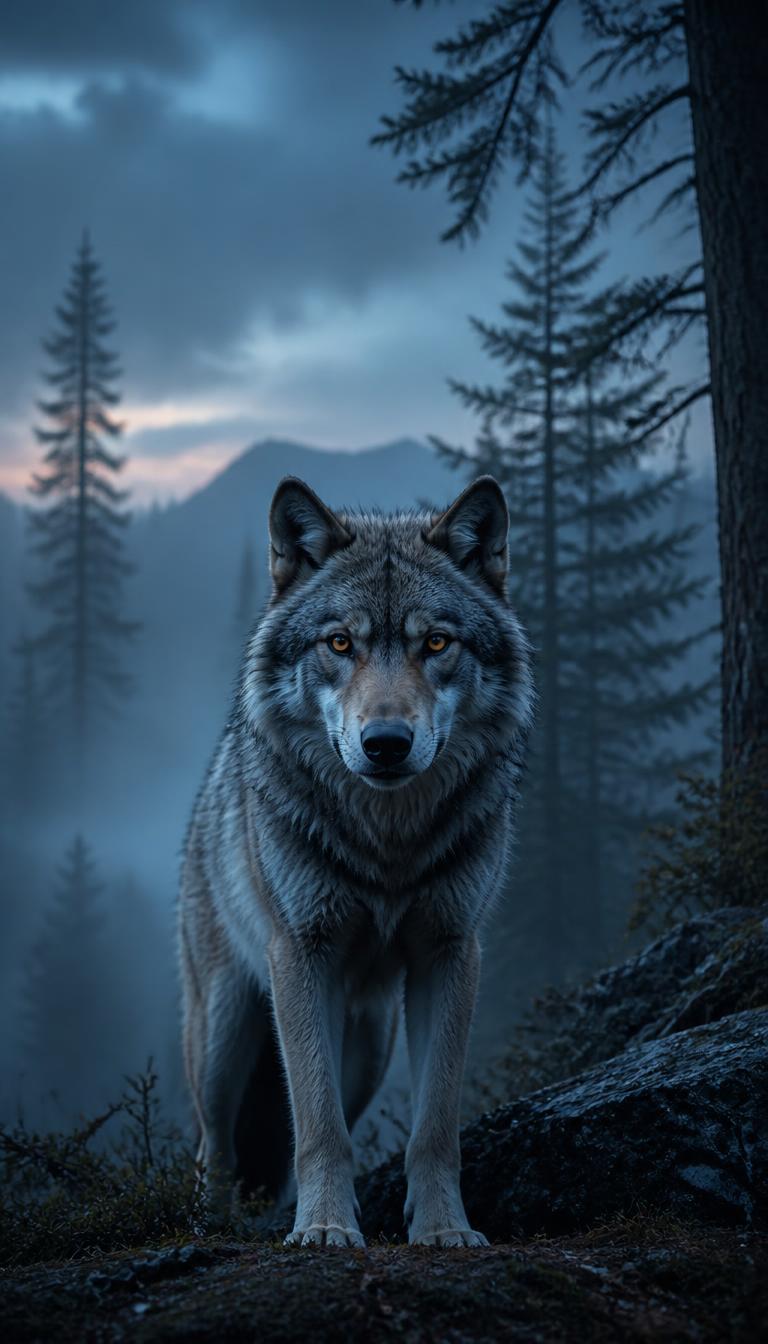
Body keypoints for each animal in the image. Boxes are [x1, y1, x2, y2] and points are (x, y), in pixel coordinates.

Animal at [179, 474, 532, 1248]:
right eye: (340, 642)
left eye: (436, 642)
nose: (387, 743)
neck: (387, 843)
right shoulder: (301, 954)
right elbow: (318, 1122)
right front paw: (324, 1228)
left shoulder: (450, 954)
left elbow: (434, 1126)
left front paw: (443, 1229)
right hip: (224, 1034)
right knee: (214, 1144)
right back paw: (212, 1225)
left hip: (368, 1043)